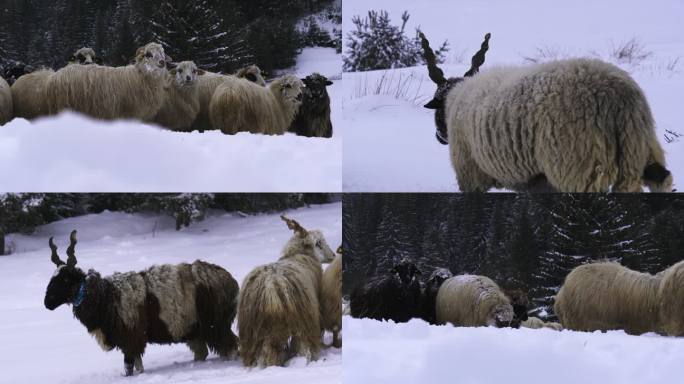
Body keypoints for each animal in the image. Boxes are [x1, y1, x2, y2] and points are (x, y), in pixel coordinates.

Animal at [238, 214, 336, 368]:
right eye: (318, 243)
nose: (333, 255)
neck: (300, 255)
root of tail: (270, 288)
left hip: (252, 329)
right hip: (298, 320)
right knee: (299, 346)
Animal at [420, 33, 672, 194]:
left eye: (436, 104)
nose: (439, 136)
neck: (455, 100)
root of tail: (617, 97)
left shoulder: (470, 174)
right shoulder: (536, 180)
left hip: (579, 167)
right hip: (640, 150)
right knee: (659, 181)